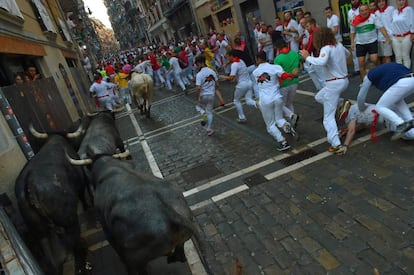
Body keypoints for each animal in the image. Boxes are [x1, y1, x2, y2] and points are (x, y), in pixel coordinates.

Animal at [14, 136, 89, 275]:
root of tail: (30, 186)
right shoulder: (82, 184)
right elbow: (83, 197)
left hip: (40, 232)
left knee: (53, 260)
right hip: (69, 220)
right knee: (73, 237)